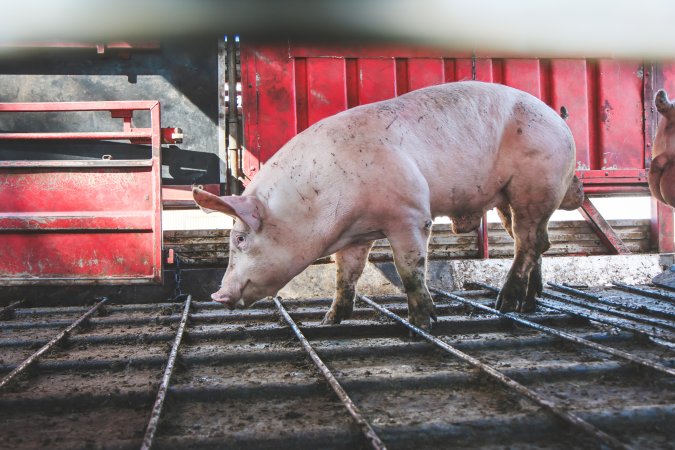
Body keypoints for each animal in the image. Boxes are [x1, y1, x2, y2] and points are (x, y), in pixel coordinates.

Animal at [193, 81, 584, 328]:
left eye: (240, 239)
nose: (216, 294)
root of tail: (559, 119)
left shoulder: (410, 215)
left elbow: (410, 269)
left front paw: (424, 321)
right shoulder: (355, 236)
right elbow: (346, 275)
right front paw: (329, 321)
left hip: (535, 184)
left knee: (530, 241)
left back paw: (505, 303)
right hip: (508, 196)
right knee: (535, 242)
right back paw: (529, 303)